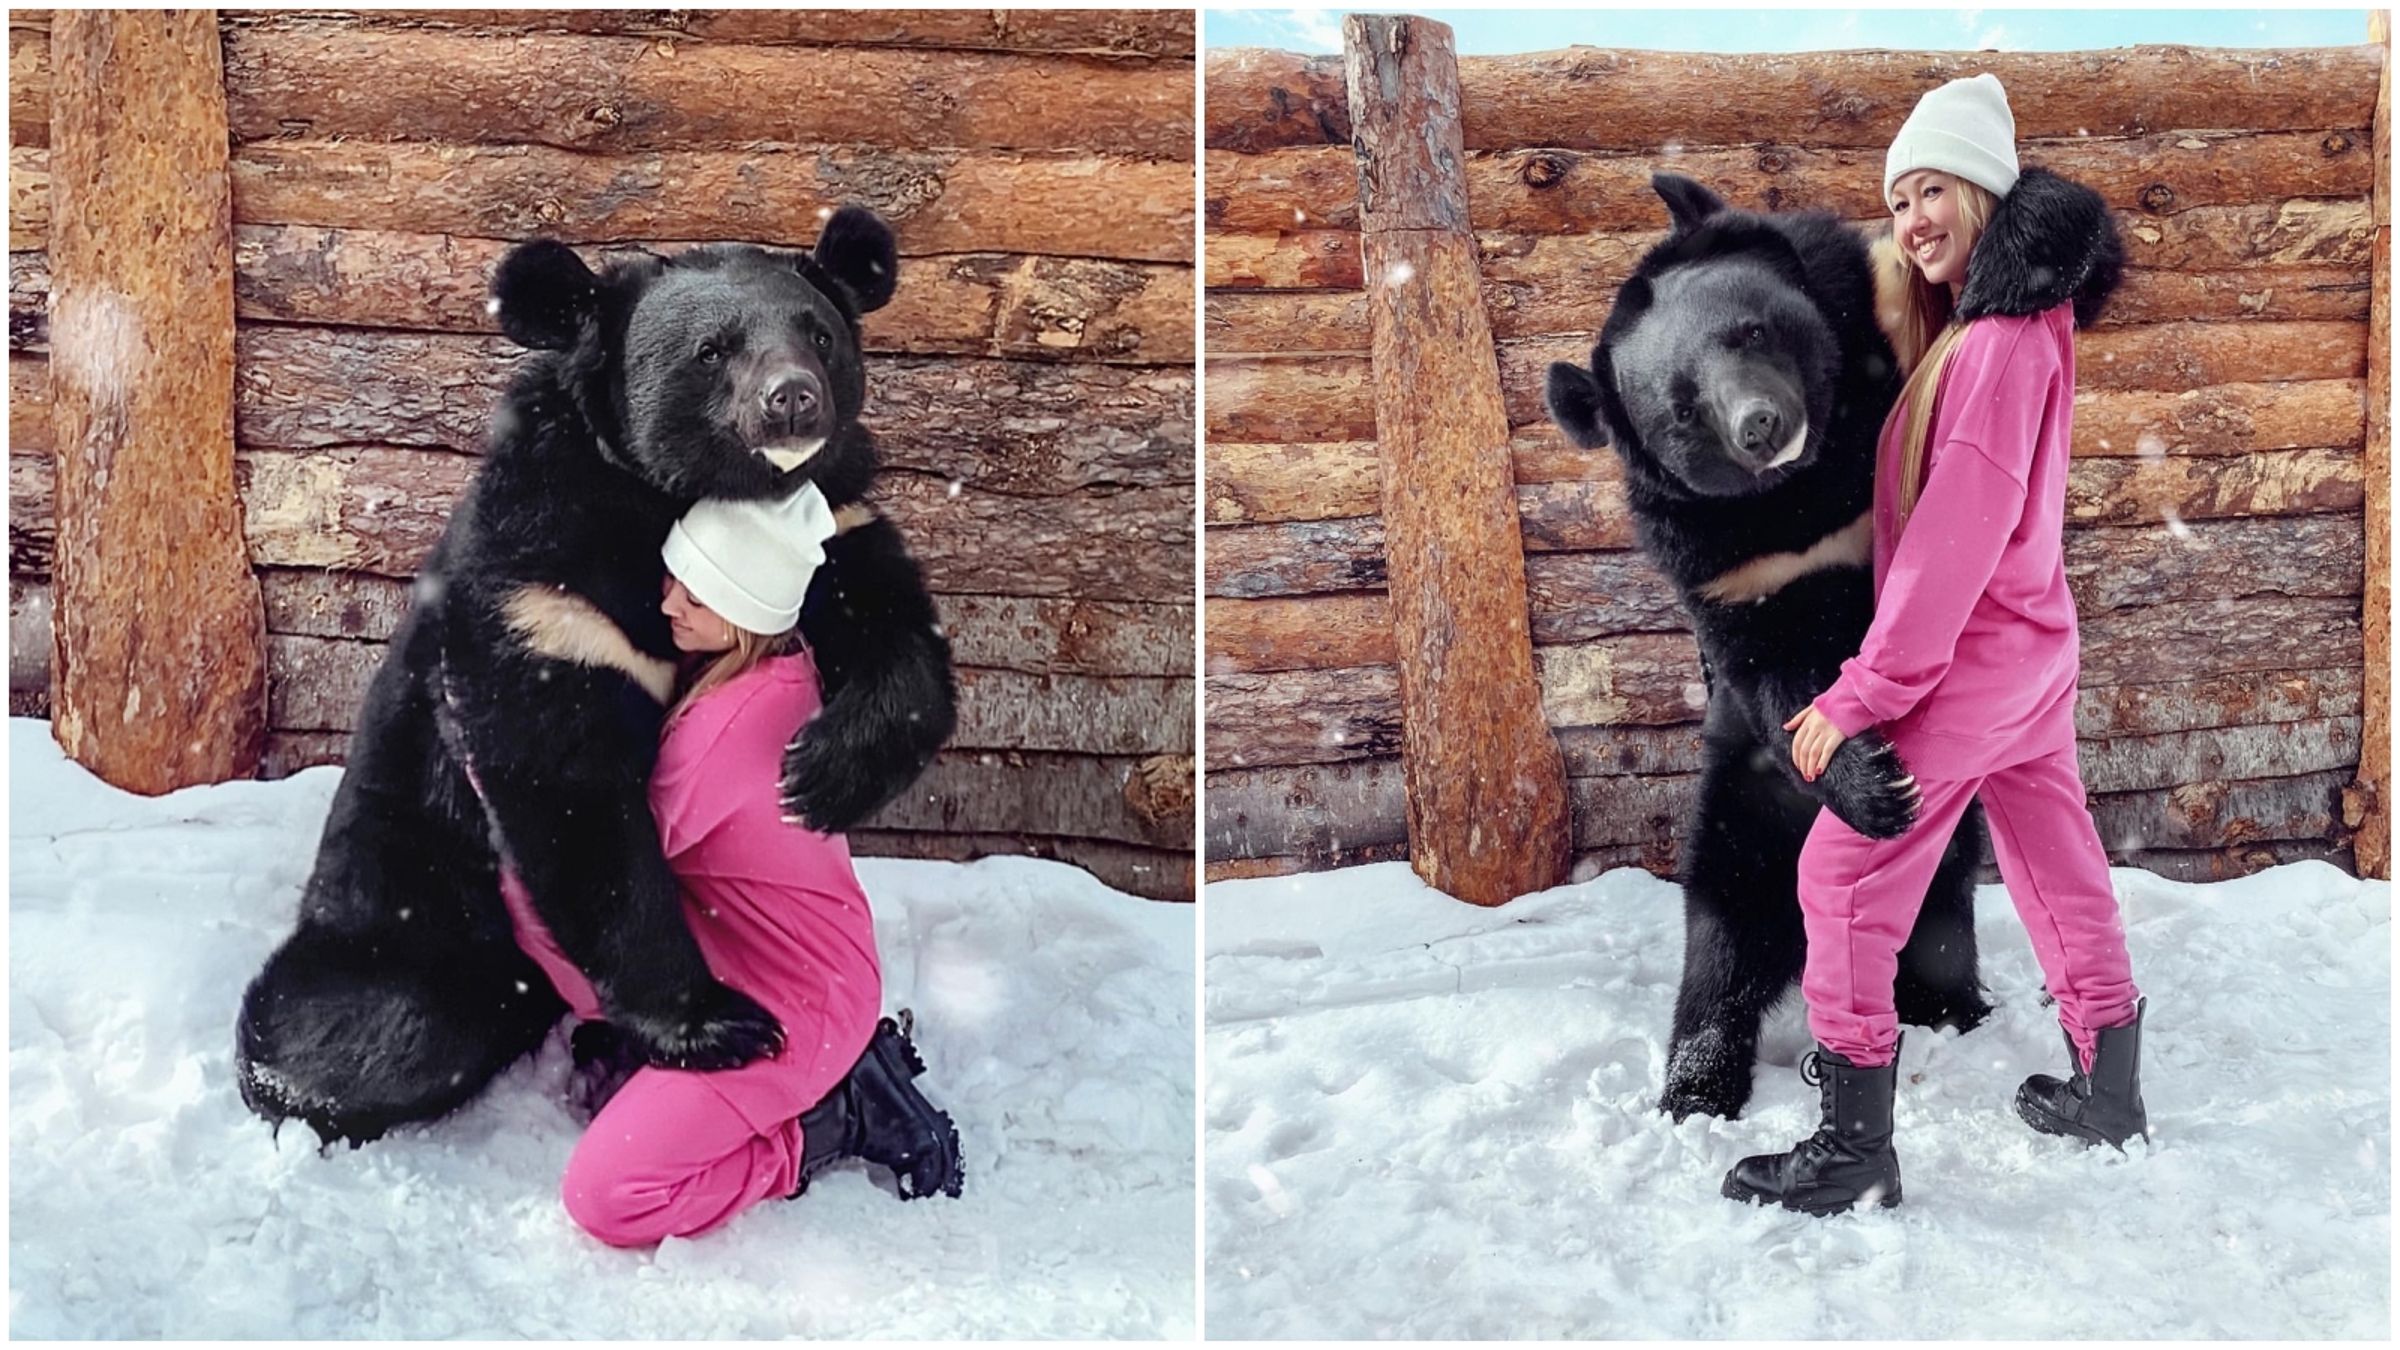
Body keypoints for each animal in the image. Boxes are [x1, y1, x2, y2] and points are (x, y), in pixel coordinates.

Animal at [234, 205, 957, 1147]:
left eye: (820, 333)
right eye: (711, 351)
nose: (793, 398)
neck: (672, 503)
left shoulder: (836, 517)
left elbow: (896, 628)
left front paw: (818, 775)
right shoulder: (548, 591)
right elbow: (570, 785)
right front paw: (719, 1023)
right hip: (406, 903)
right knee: (370, 1029)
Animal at [1545, 174, 1991, 1122]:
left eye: (1748, 330)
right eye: (1682, 409)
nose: (1759, 425)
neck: (1801, 494)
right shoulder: (1727, 573)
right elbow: (1773, 675)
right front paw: (1874, 785)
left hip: (1944, 850)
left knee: (1942, 911)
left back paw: (1948, 1009)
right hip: (1735, 816)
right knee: (1722, 943)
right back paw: (1696, 1086)